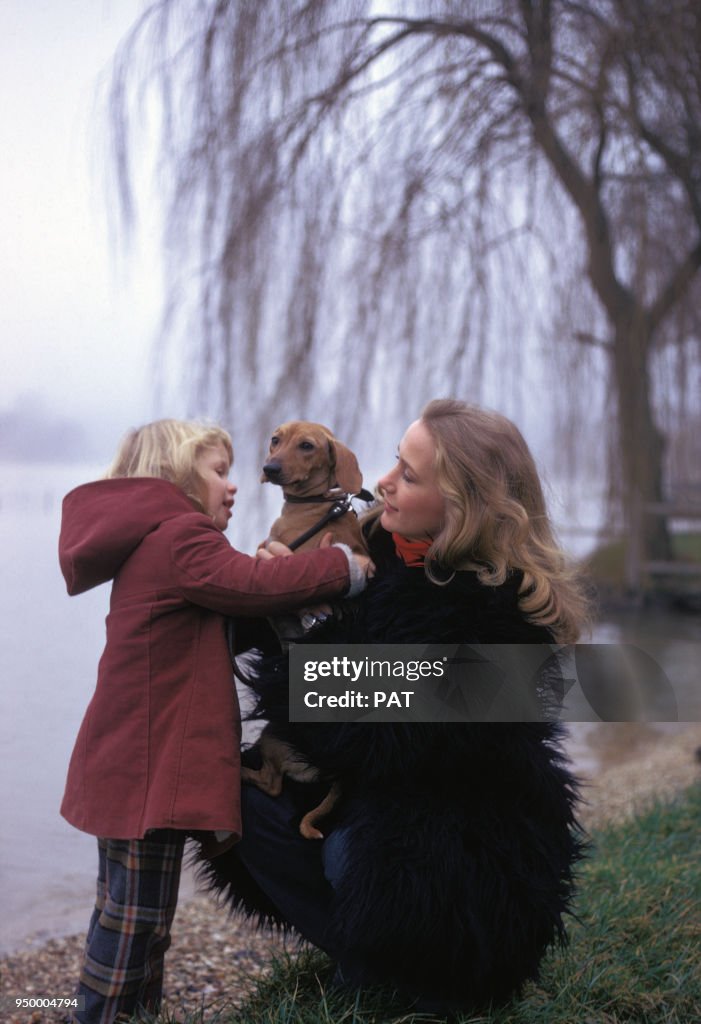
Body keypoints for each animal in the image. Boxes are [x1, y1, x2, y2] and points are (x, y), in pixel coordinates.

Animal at [240, 419, 368, 835]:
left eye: (307, 446)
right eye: (275, 440)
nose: (271, 468)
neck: (315, 505)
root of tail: (339, 772)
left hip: (272, 740)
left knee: (272, 784)